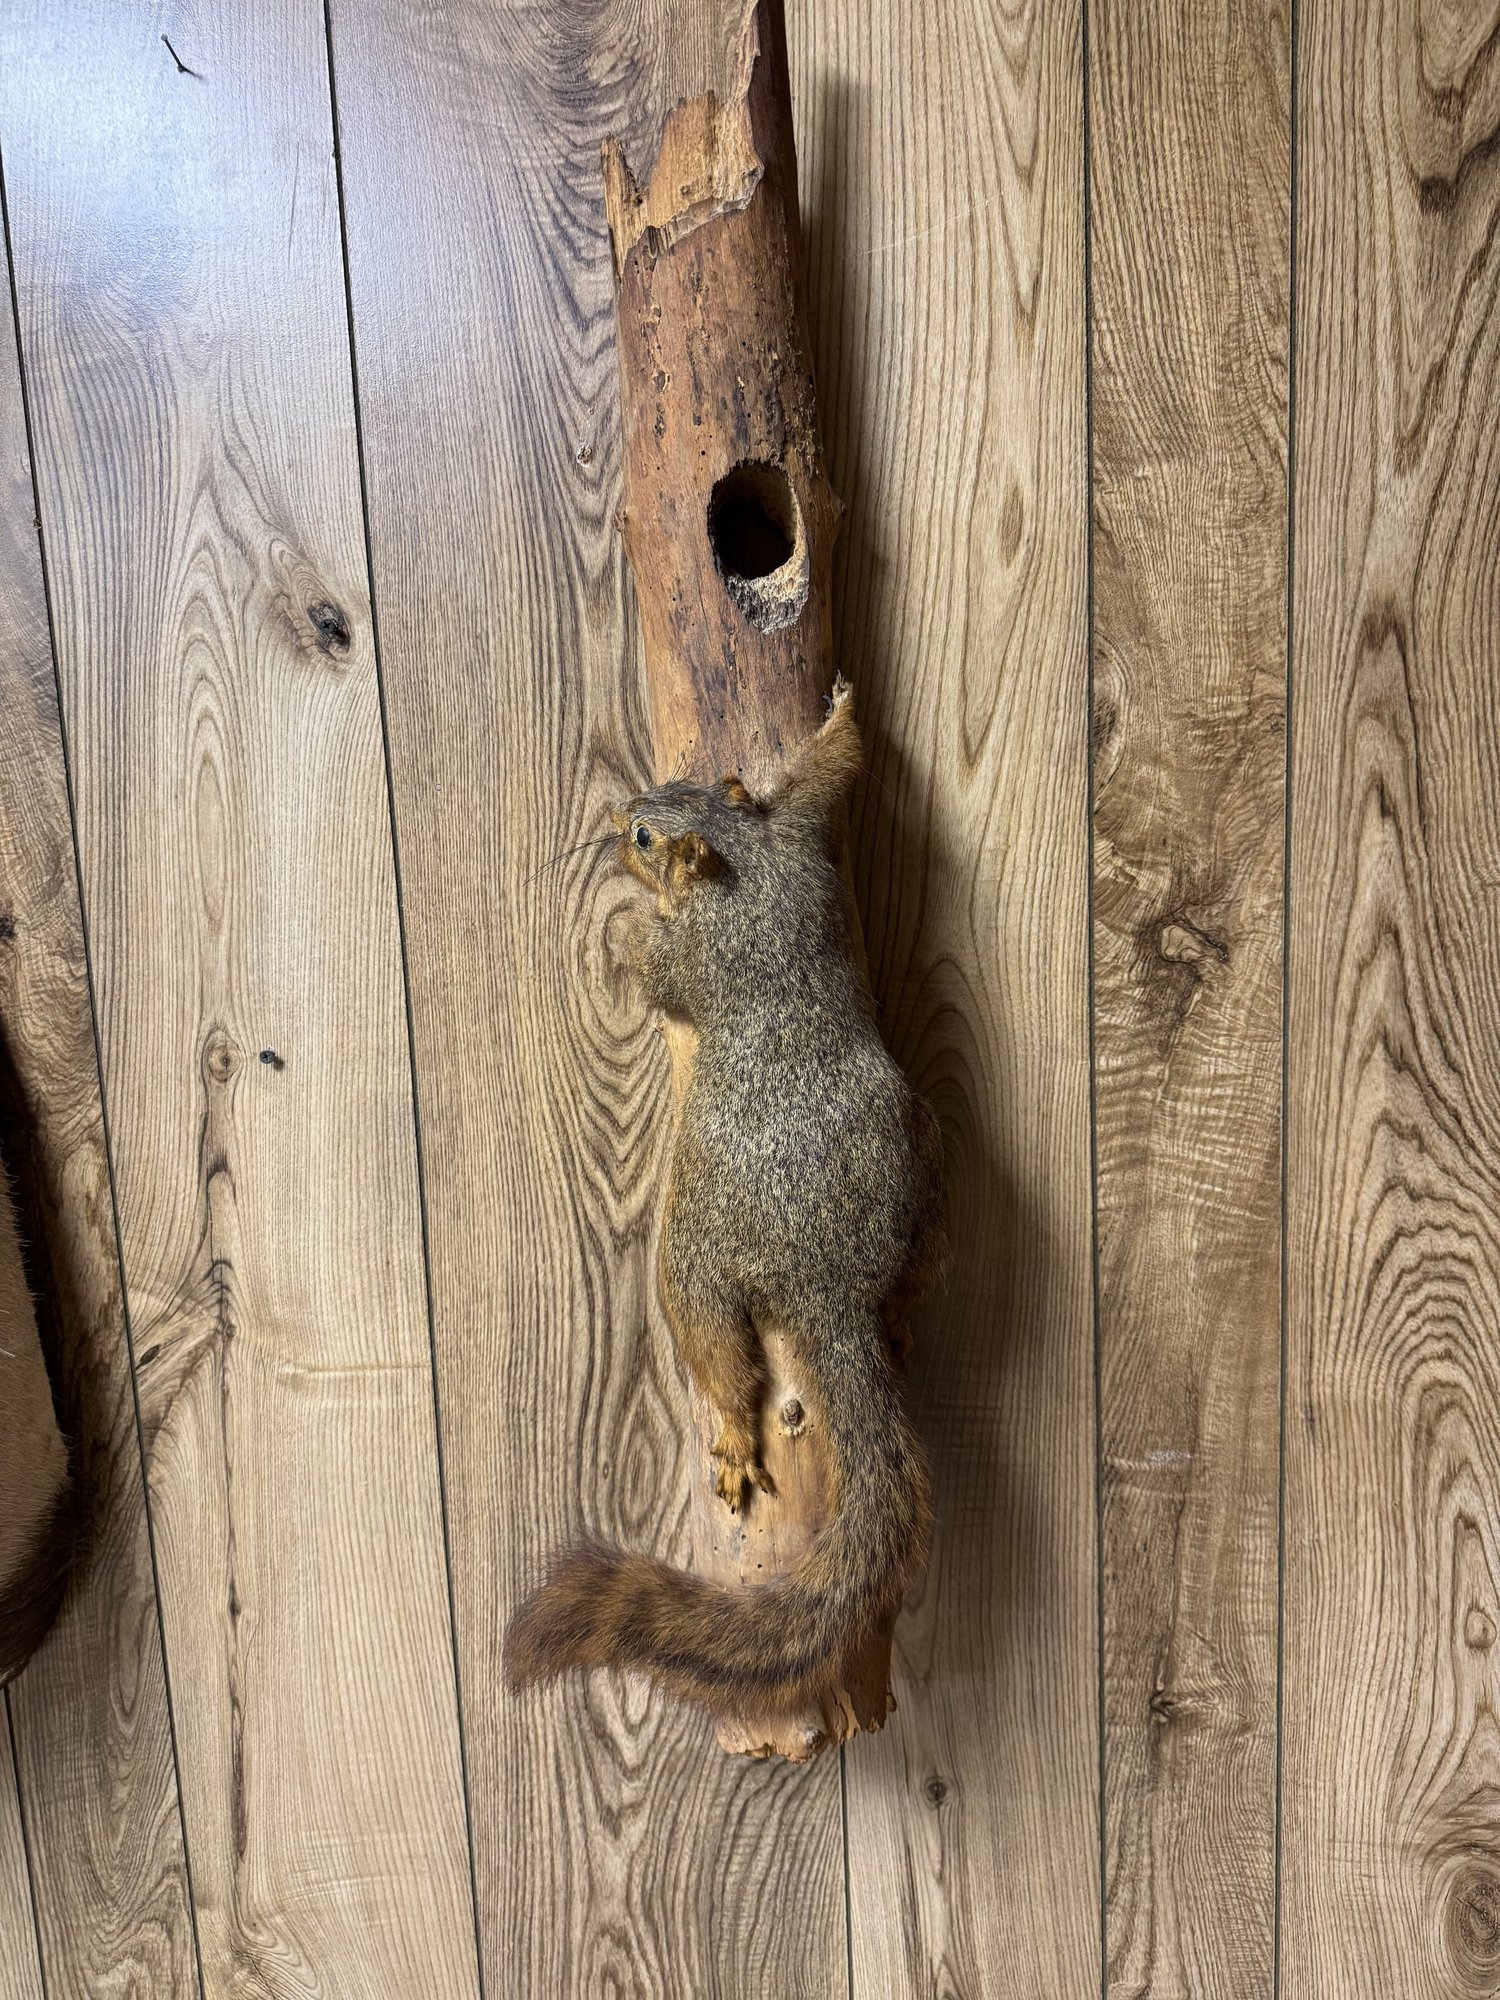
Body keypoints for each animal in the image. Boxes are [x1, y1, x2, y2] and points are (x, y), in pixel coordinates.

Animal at [503, 678, 945, 1717]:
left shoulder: (703, 953)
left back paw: (740, 1435)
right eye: (683, 785)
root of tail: (830, 1290)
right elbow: (830, 771)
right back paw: (904, 1313)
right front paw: (840, 713)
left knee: (716, 1348)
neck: (746, 864)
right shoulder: (800, 829)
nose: (618, 815)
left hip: (693, 1259)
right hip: (921, 1163)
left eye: (645, 836)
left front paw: (627, 929)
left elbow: (661, 975)